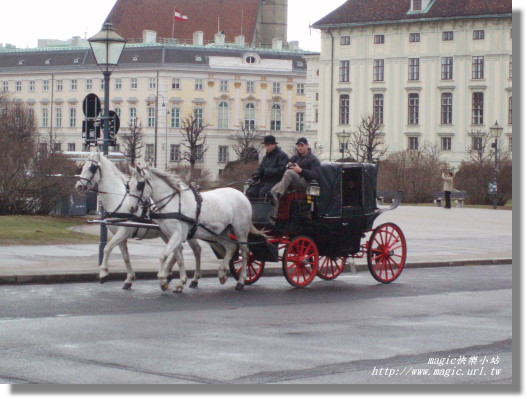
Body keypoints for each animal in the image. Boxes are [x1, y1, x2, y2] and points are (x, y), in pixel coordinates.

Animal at [75, 153, 203, 290]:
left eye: (92, 168)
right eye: (83, 166)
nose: (79, 186)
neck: (118, 199)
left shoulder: (123, 232)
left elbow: (107, 248)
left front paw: (103, 273)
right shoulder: (119, 235)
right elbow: (125, 257)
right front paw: (129, 279)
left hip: (186, 233)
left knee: (196, 250)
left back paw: (193, 279)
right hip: (167, 234)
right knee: (178, 250)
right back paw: (169, 274)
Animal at [126, 166, 262, 294]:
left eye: (140, 184)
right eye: (128, 185)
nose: (130, 208)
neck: (174, 203)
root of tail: (242, 195)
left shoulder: (178, 235)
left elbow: (163, 256)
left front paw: (163, 279)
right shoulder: (172, 236)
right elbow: (179, 259)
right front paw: (180, 282)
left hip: (240, 231)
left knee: (244, 253)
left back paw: (241, 281)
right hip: (218, 233)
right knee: (231, 247)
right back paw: (222, 273)